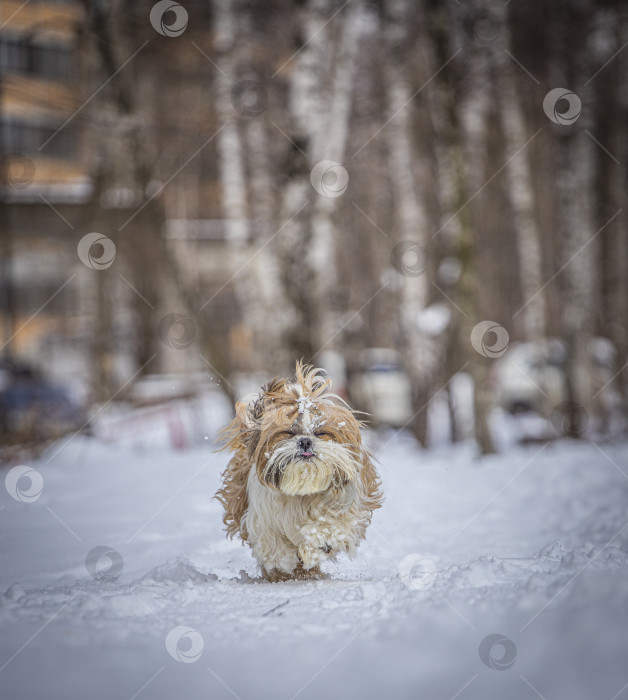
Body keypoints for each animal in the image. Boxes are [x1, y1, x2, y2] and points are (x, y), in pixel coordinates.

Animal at [216, 360, 382, 580]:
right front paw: (283, 560)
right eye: (288, 432)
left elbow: (329, 527)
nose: (305, 441)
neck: (303, 490)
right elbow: (273, 543)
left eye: (321, 433)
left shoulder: (346, 507)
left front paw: (317, 543)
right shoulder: (261, 516)